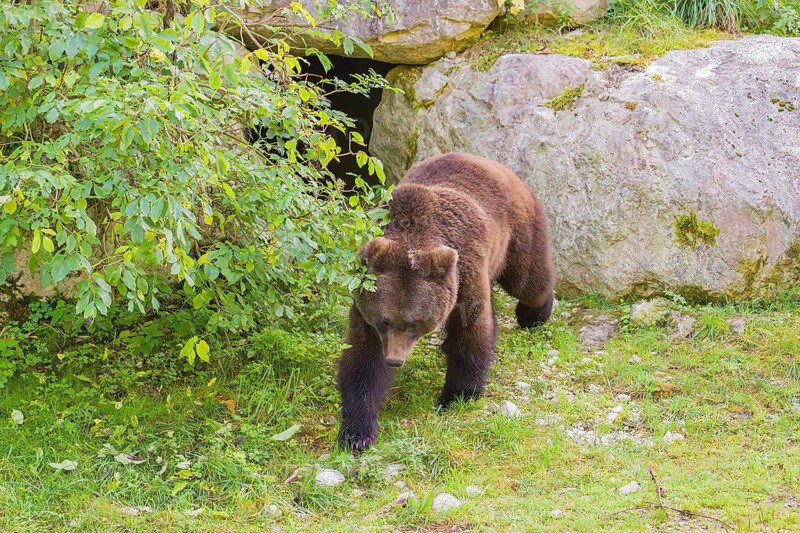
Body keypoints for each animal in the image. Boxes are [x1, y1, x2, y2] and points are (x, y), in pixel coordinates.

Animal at [337, 152, 555, 450]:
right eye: (385, 321)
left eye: (415, 323)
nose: (394, 360)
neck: (413, 232)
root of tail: (492, 163)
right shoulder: (365, 296)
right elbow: (362, 356)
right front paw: (357, 432)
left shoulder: (464, 271)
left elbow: (470, 331)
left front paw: (456, 395)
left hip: (516, 229)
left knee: (527, 279)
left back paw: (534, 314)